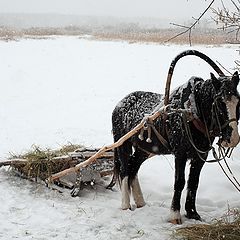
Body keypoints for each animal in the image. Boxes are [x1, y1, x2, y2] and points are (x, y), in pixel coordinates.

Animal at [111, 49, 240, 224]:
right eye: (219, 102)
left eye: (238, 101)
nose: (232, 139)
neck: (191, 112)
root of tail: (120, 104)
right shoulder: (180, 153)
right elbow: (180, 182)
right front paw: (175, 215)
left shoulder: (201, 155)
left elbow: (193, 182)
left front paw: (192, 213)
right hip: (122, 145)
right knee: (125, 170)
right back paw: (125, 205)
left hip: (144, 149)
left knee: (133, 168)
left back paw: (140, 202)